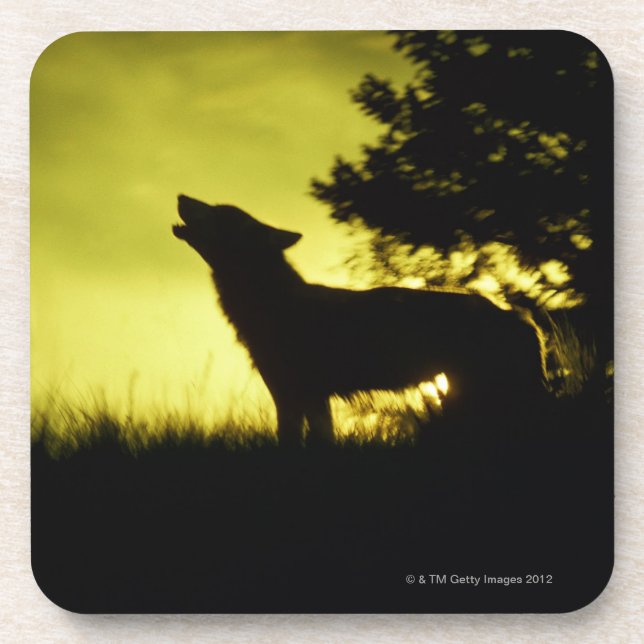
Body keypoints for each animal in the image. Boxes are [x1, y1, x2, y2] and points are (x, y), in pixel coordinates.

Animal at [173, 195, 547, 447]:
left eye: (219, 212)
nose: (181, 197)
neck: (272, 303)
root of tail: (519, 319)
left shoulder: (296, 396)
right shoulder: (307, 398)